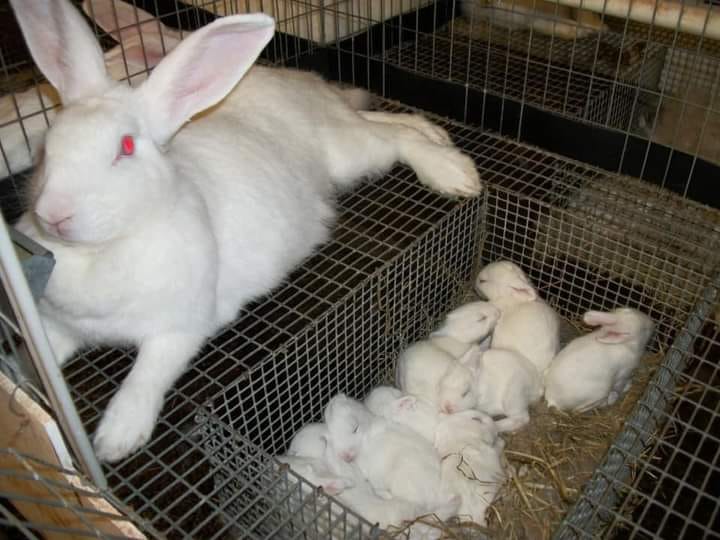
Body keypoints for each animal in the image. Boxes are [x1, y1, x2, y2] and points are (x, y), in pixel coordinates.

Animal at [8, 0, 481, 463]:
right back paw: (433, 131)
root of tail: (295, 82)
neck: (97, 253)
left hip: (348, 153)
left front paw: (116, 440)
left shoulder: (180, 328)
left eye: (124, 148)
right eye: (47, 147)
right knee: (382, 121)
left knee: (394, 140)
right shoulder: (57, 325)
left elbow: (146, 376)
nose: (53, 213)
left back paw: (454, 171)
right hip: (346, 128)